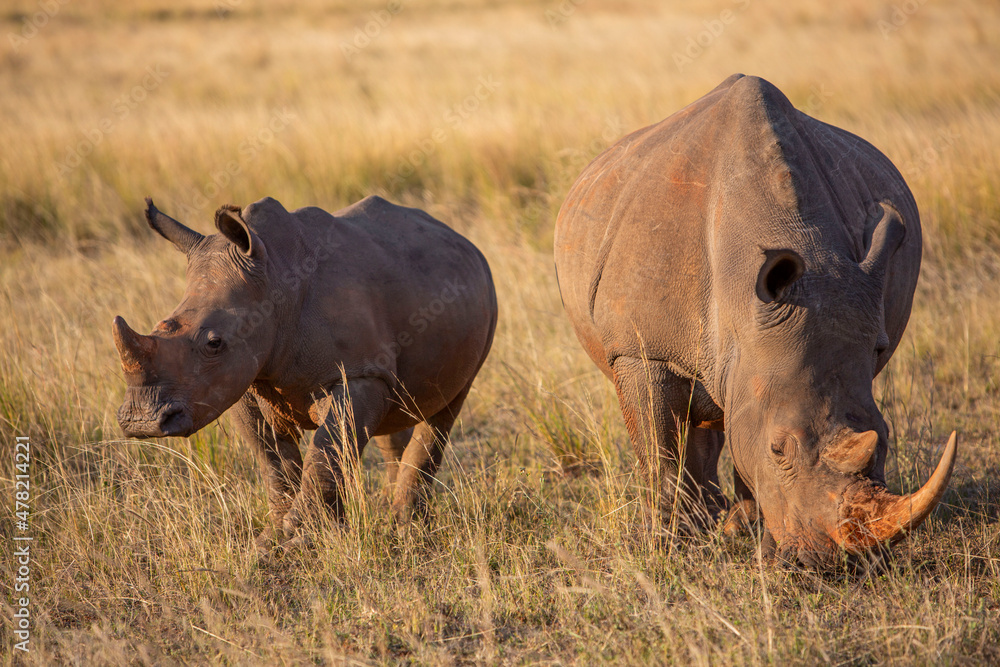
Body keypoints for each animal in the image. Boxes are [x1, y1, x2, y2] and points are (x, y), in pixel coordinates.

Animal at [114, 196, 497, 549]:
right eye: (161, 325)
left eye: (214, 342)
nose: (142, 422)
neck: (272, 281)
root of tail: (463, 241)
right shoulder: (239, 382)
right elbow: (273, 458)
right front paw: (276, 539)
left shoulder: (356, 374)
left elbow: (327, 449)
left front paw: (301, 535)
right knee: (393, 418)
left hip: (486, 303)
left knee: (442, 413)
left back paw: (406, 529)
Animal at [553, 74, 956, 567]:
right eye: (779, 448)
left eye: (884, 439)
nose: (827, 564)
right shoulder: (638, 349)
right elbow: (660, 450)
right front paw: (664, 549)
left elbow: (746, 433)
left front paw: (748, 539)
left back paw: (724, 523)